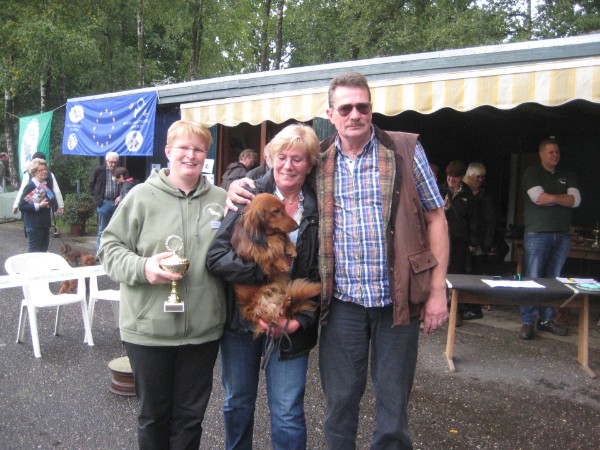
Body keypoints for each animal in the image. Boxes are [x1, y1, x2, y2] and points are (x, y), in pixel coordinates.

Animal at [231, 193, 320, 335]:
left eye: (284, 207)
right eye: (276, 211)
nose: (297, 226)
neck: (265, 235)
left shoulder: (277, 235)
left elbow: (282, 237)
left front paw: (290, 248)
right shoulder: (255, 254)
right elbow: (270, 254)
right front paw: (282, 263)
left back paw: (287, 302)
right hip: (260, 306)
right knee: (276, 314)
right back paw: (285, 304)